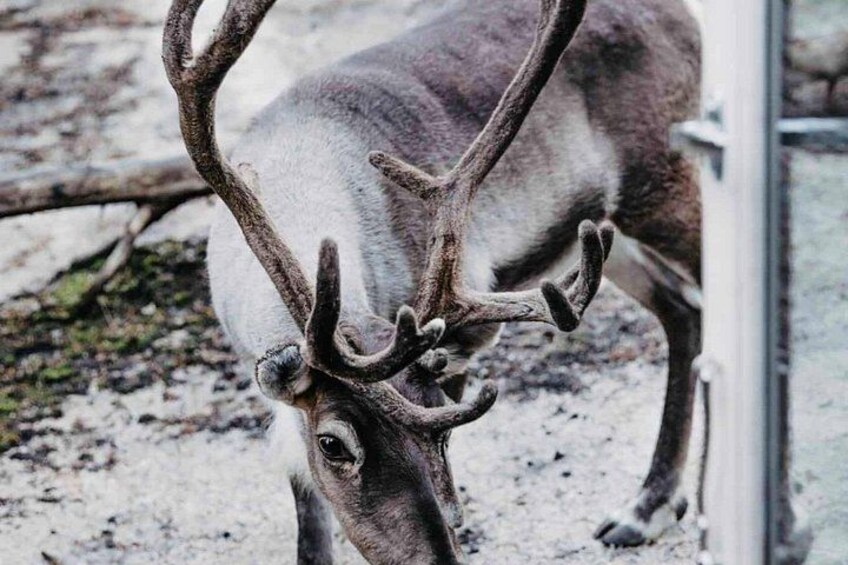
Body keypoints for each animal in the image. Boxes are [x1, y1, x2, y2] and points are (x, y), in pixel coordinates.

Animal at [163, 0, 701, 562]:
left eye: (443, 416)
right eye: (333, 444)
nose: (439, 558)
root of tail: (681, 14)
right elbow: (307, 512)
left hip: (664, 183)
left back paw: (659, 506)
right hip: (604, 233)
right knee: (682, 310)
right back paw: (651, 506)